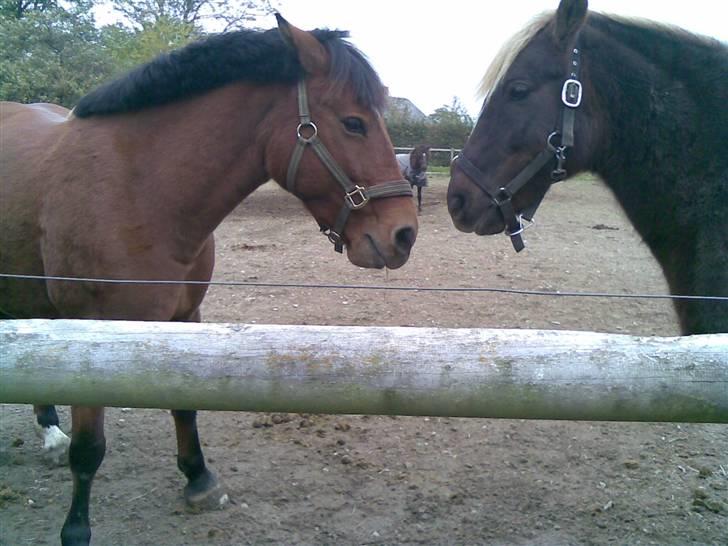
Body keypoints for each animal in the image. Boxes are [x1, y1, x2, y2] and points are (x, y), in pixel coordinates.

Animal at [0, 14, 418, 540]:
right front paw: (76, 530)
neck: (137, 189)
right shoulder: (90, 334)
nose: (405, 233)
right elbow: (89, 449)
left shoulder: (185, 318)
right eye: (353, 123)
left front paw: (198, 479)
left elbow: (185, 404)